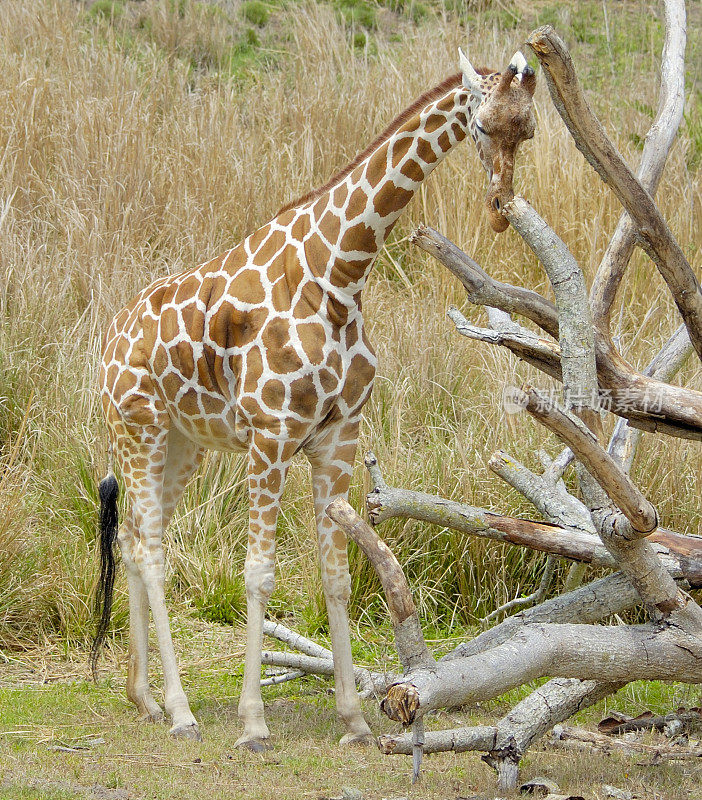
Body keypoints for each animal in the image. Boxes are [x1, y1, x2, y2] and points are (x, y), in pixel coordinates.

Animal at [91, 47, 536, 748]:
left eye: (530, 130)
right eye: (484, 126)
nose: (498, 209)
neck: (339, 276)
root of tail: (108, 341)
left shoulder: (337, 435)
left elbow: (338, 576)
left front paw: (353, 718)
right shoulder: (271, 436)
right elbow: (258, 573)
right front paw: (252, 722)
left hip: (184, 445)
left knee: (135, 537)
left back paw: (146, 698)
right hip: (139, 429)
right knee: (154, 547)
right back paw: (182, 710)